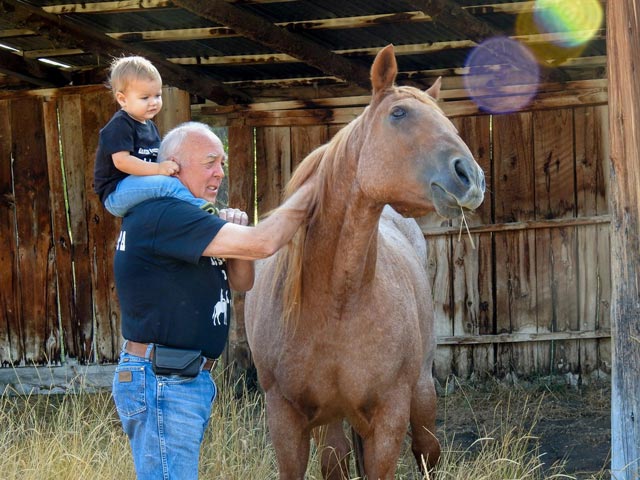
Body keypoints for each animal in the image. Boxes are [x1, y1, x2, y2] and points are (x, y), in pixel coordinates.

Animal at [245, 43, 484, 478]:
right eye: (398, 114)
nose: (470, 177)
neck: (338, 300)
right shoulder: (285, 419)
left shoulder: (389, 415)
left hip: (421, 393)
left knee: (427, 450)